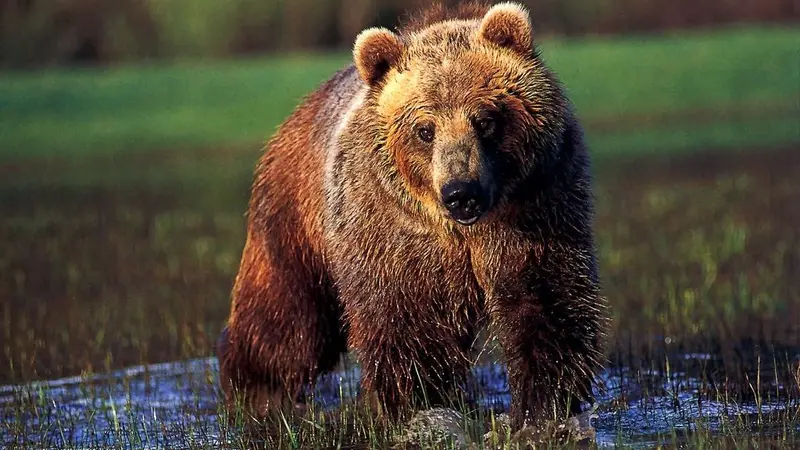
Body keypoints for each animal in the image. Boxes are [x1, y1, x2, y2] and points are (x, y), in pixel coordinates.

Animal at [216, 1, 608, 431]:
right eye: (425, 129)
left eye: (485, 119)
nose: (461, 193)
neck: (461, 230)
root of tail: (295, 116)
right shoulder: (392, 229)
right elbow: (407, 319)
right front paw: (425, 402)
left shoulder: (536, 205)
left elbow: (544, 298)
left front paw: (545, 406)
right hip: (293, 221)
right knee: (286, 317)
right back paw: (259, 393)